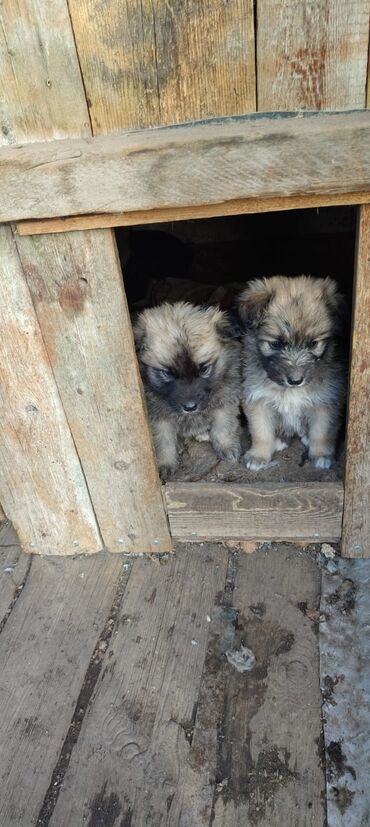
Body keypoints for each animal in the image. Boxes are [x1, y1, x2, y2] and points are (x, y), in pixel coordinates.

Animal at [134, 302, 241, 478]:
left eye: (204, 369)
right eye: (167, 373)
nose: (190, 407)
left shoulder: (225, 397)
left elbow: (223, 425)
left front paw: (226, 446)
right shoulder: (158, 417)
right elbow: (163, 441)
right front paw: (165, 463)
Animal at [237, 276, 346, 468]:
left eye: (313, 344)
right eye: (276, 344)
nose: (295, 381)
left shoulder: (326, 401)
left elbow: (322, 431)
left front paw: (321, 454)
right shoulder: (257, 399)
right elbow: (261, 431)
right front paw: (259, 455)